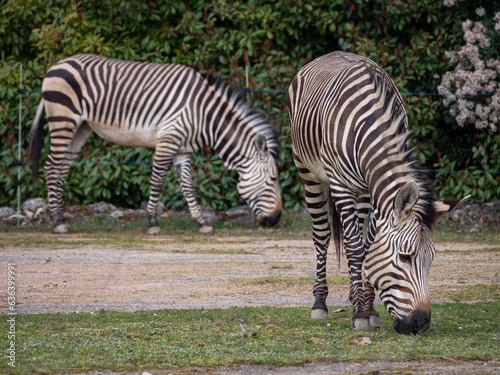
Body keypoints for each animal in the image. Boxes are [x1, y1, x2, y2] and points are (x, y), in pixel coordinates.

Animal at [29, 53, 284, 235]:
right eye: (272, 179)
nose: (276, 220)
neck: (204, 115)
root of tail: (56, 65)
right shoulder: (168, 140)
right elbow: (158, 180)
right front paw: (152, 222)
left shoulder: (183, 149)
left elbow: (187, 186)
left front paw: (201, 222)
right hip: (63, 120)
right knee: (51, 167)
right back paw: (57, 223)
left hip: (81, 128)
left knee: (62, 169)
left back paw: (60, 218)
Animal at [288, 51, 466, 336]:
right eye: (405, 257)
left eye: (431, 259)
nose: (421, 324)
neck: (372, 125)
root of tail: (329, 54)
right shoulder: (341, 185)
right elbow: (354, 247)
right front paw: (360, 313)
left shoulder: (376, 194)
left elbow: (368, 245)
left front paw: (368, 308)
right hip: (308, 172)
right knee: (322, 236)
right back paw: (320, 303)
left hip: (360, 192)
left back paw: (355, 294)